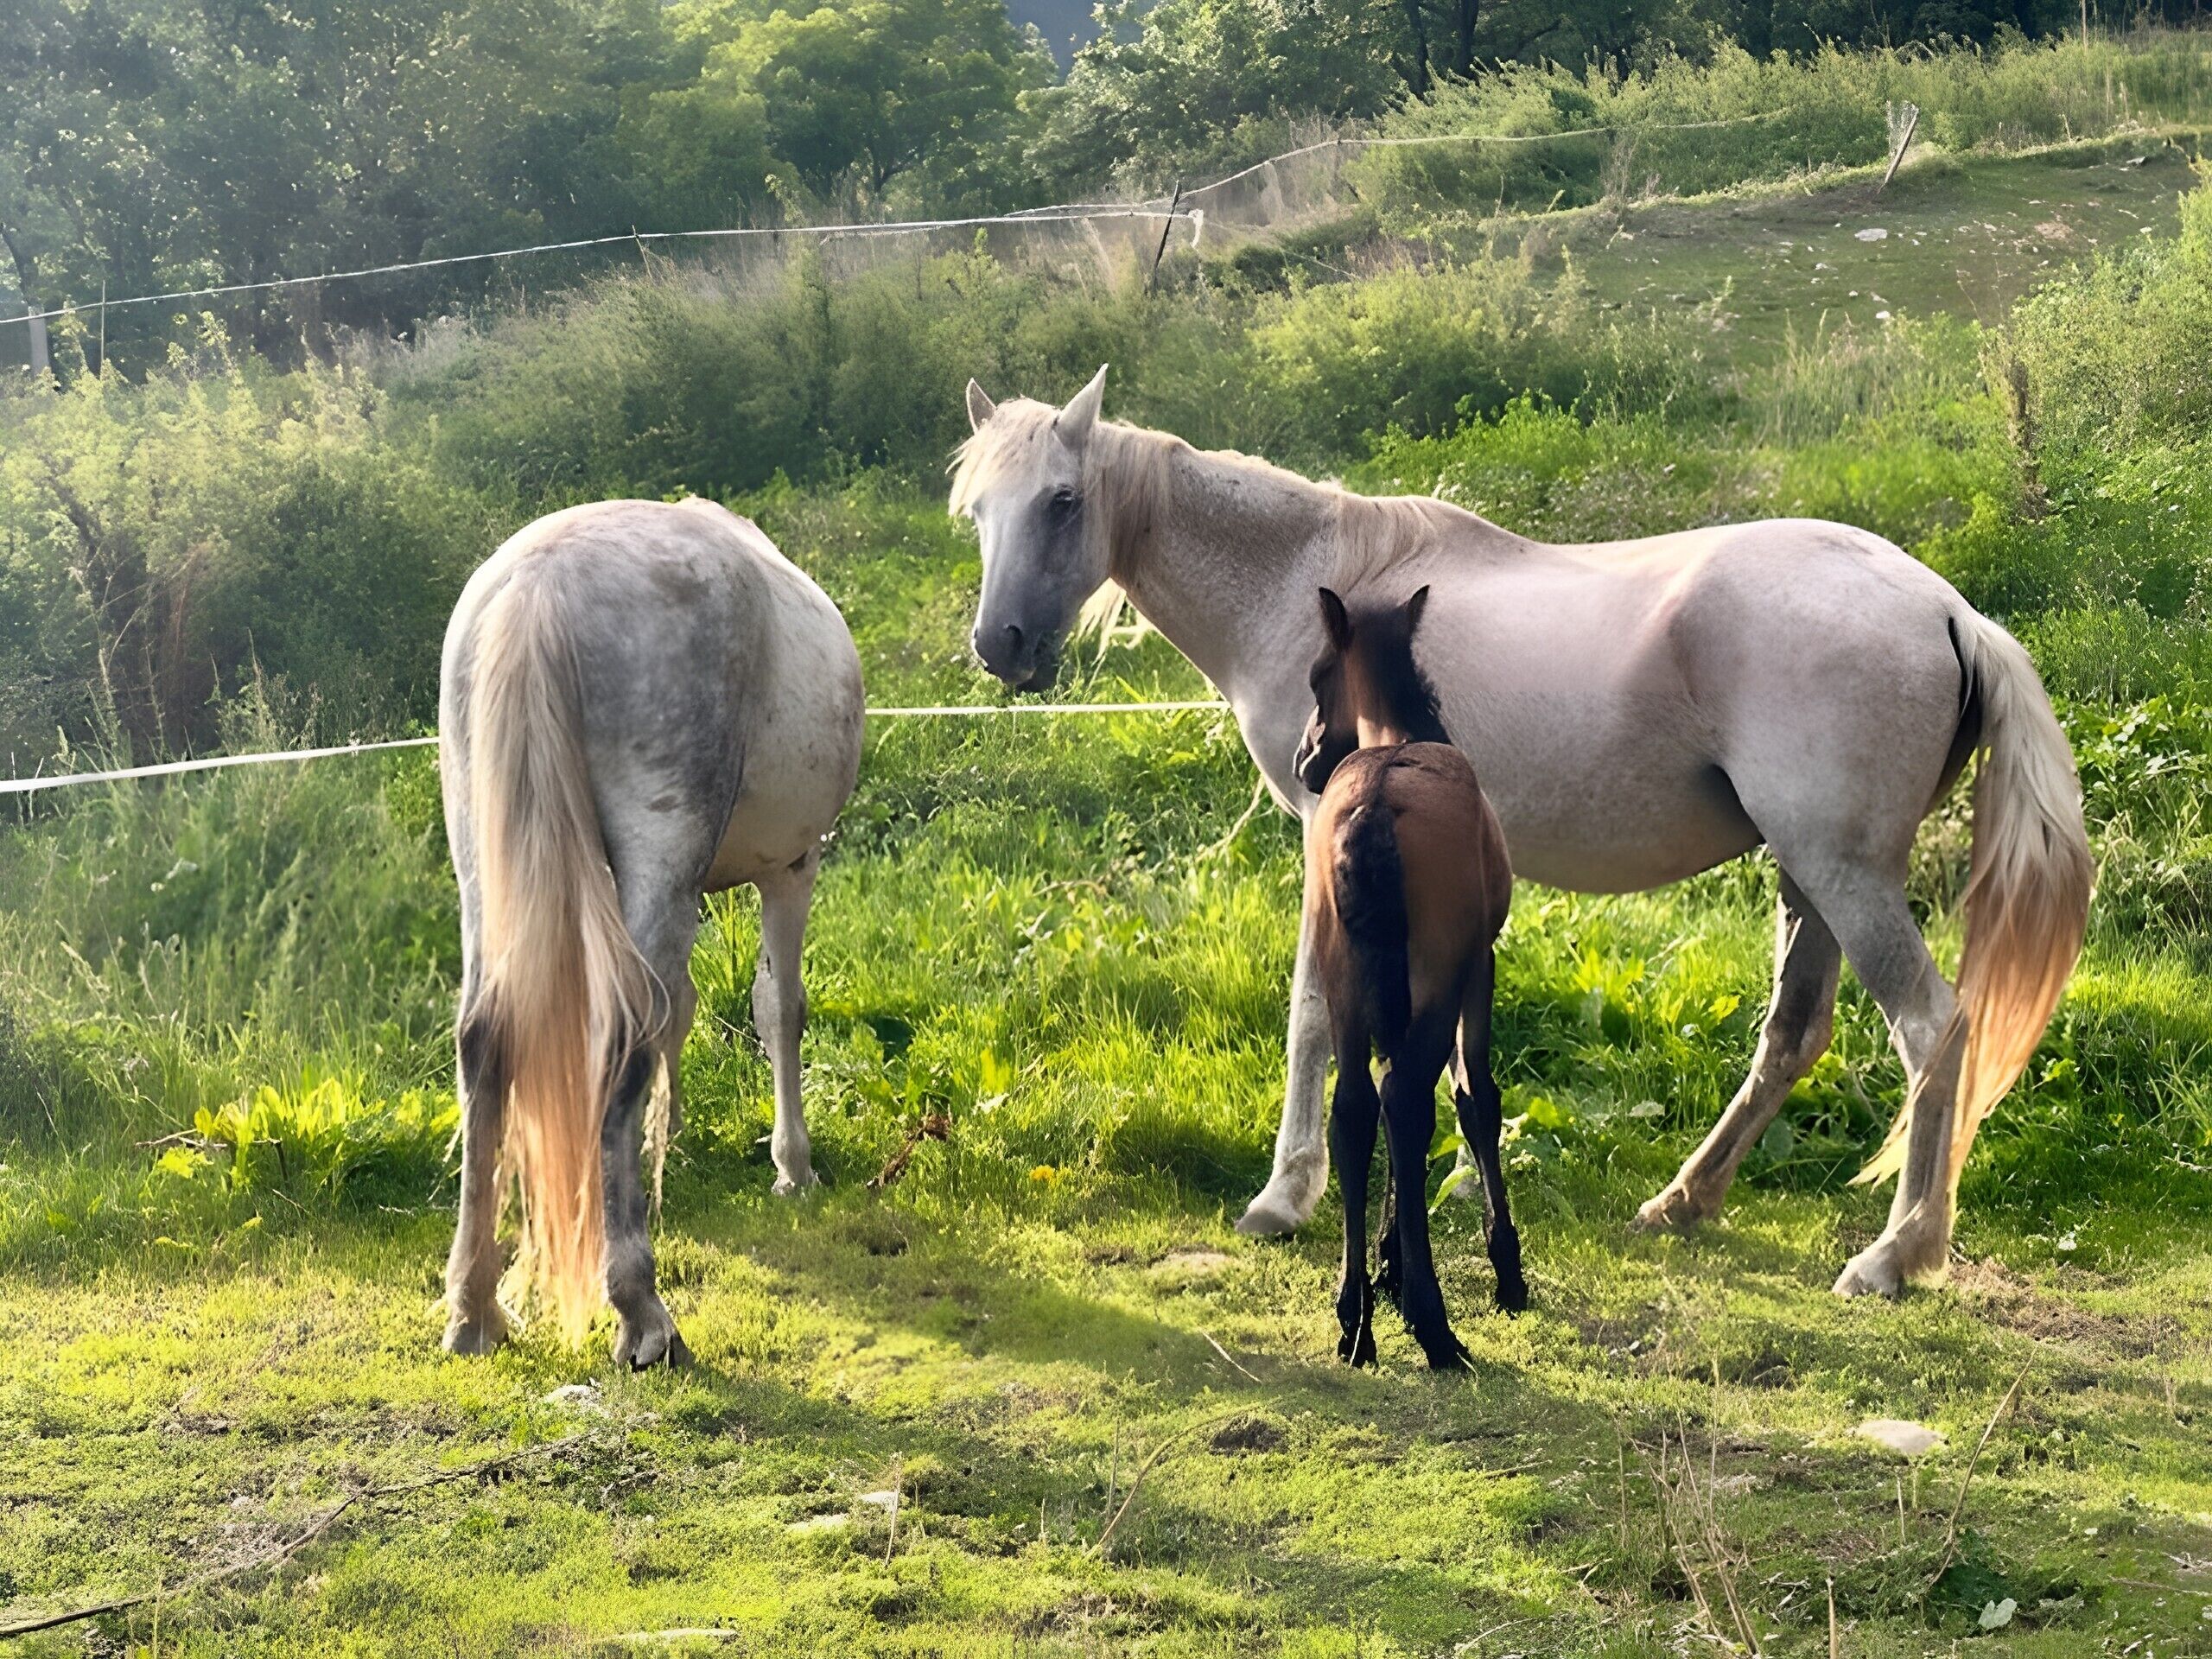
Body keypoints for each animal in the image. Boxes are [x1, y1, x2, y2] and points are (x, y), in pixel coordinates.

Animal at [438, 497, 863, 1364]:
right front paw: (793, 1168)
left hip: (482, 864)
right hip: (665, 849)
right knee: (625, 1031)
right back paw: (642, 1312)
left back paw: (474, 1311)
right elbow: (779, 1008)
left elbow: (686, 1010)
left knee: (485, 1040)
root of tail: (543, 584)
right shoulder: (791, 867)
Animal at [1296, 583, 1523, 1370]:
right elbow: (1476, 1097)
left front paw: (1388, 1266)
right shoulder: (1479, 963)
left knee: (1356, 1110)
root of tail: (1373, 807)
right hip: (1437, 975)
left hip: (1342, 975)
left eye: (1316, 677)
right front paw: (1506, 1269)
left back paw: (1354, 1318)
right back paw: (1434, 1324)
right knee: (1409, 1099)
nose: (1304, 758)